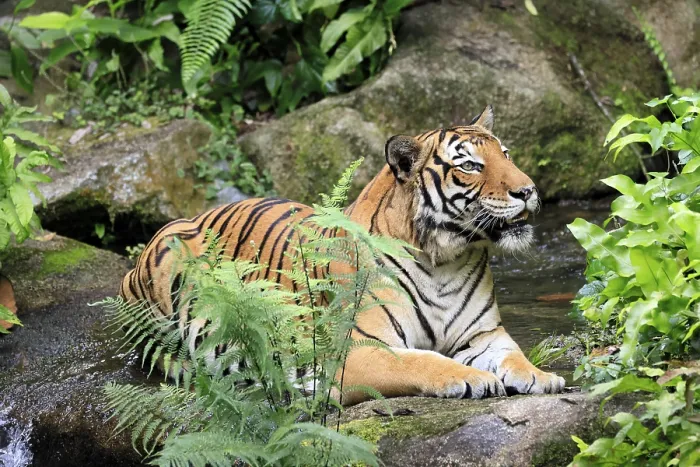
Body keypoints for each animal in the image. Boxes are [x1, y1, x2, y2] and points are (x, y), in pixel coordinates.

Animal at [120, 105, 566, 405]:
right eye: (470, 166)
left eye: (505, 155)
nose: (528, 190)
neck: (446, 259)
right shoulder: (358, 349)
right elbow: (419, 362)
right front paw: (471, 378)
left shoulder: (485, 335)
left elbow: (514, 356)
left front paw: (542, 376)